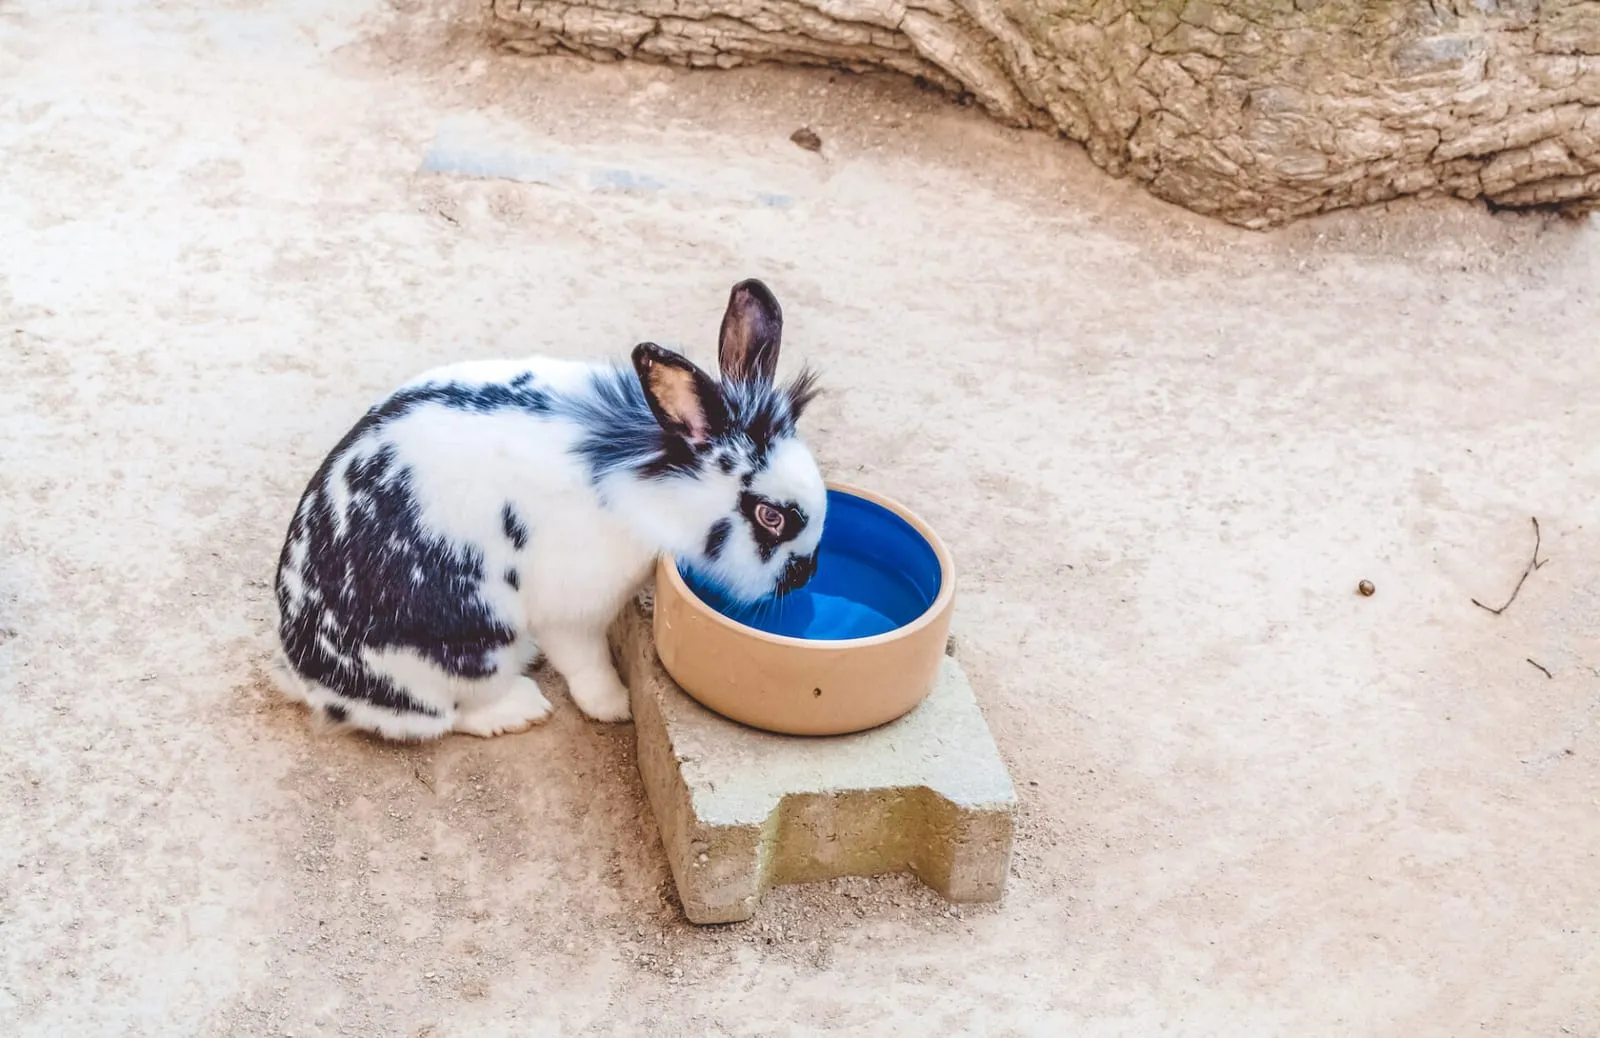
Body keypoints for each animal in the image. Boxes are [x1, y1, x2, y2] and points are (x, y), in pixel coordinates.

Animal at [270, 278, 826, 741]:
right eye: (771, 517)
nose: (806, 573)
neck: (639, 472)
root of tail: (310, 681)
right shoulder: (573, 611)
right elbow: (588, 663)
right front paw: (617, 706)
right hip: (475, 647)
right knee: (451, 716)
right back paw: (523, 710)